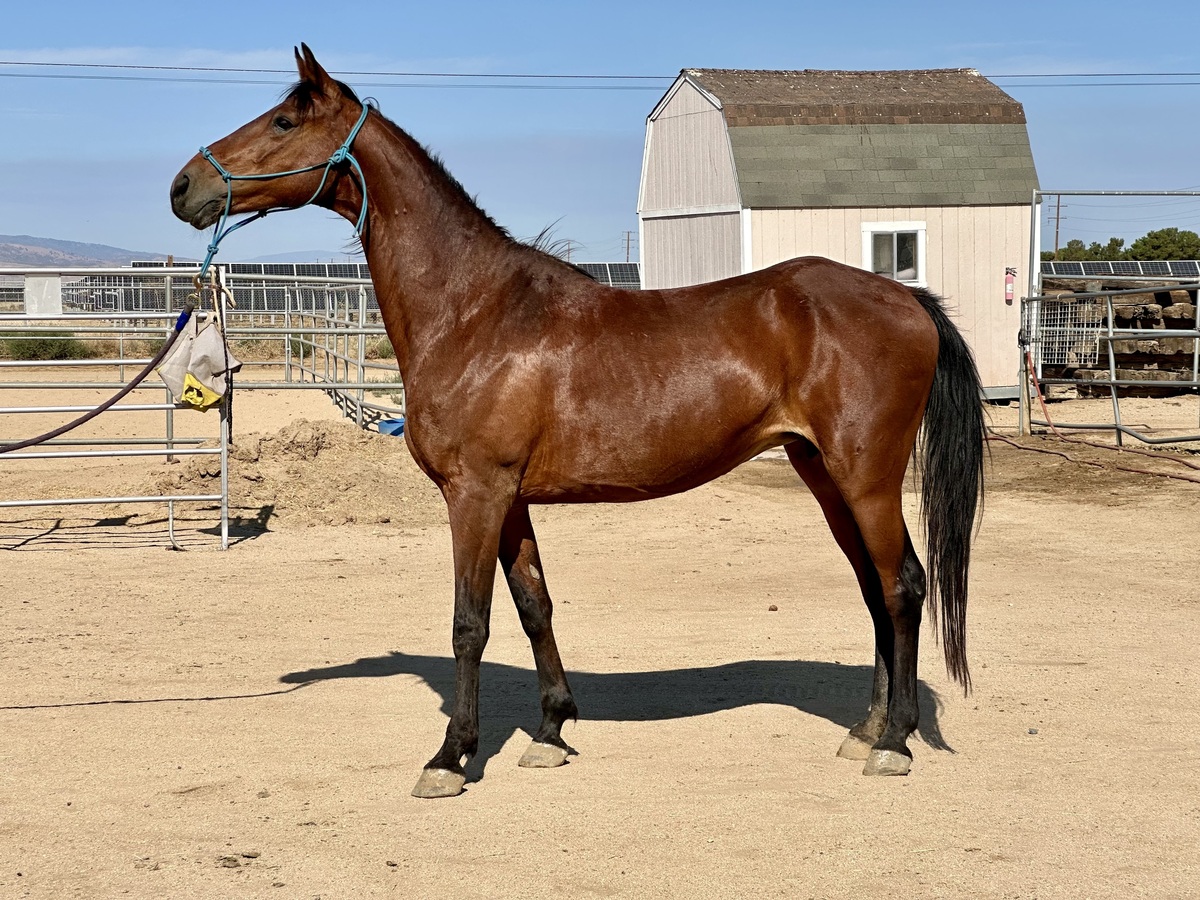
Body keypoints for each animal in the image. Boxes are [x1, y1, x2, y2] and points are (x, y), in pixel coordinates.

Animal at [170, 45, 985, 799]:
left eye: (284, 121)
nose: (184, 187)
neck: (474, 312)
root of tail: (907, 298)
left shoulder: (475, 494)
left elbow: (470, 622)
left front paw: (451, 758)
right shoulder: (511, 500)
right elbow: (535, 606)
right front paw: (551, 731)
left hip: (865, 476)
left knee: (903, 585)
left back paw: (895, 743)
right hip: (822, 473)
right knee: (874, 588)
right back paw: (866, 729)